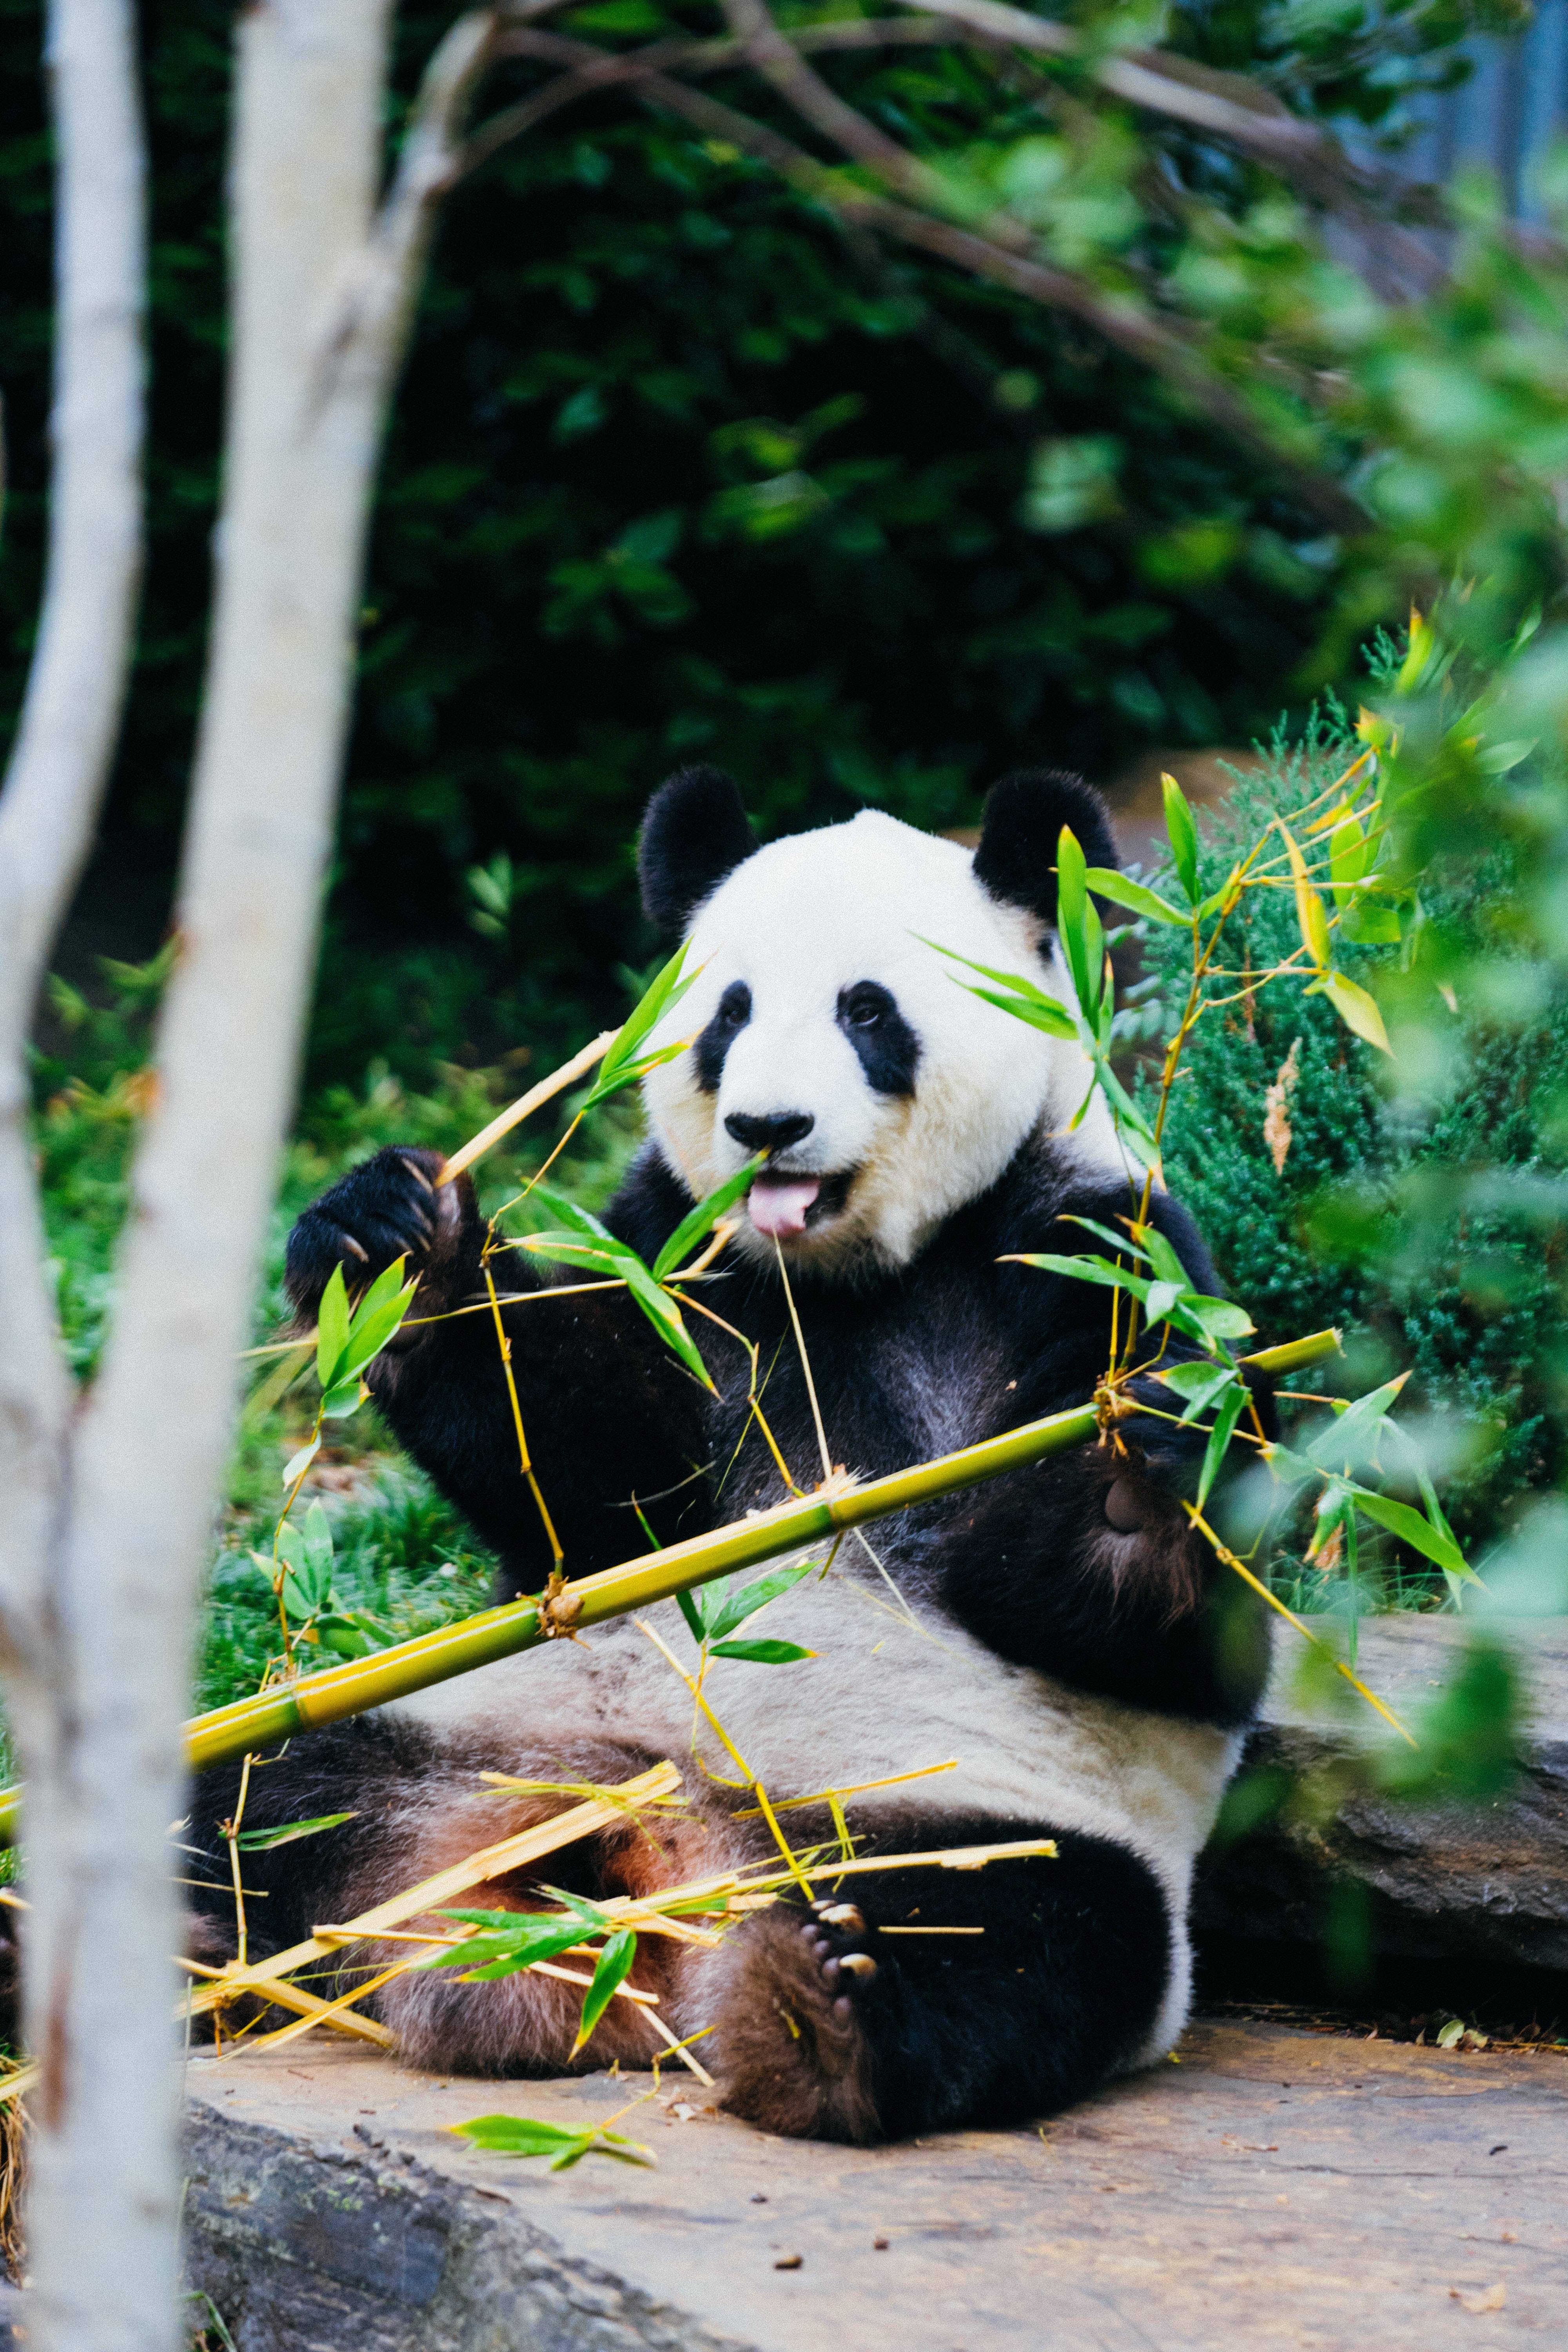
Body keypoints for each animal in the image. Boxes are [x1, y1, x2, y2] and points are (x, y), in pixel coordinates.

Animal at [196, 771, 1279, 2154]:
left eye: (868, 1010)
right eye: (730, 1012)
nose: (769, 1128)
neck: (845, 1273)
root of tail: (657, 1873)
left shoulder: (1095, 1245)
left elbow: (1154, 1629)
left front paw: (1138, 1471)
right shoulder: (681, 1254)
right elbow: (595, 1488)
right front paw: (396, 1241)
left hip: (983, 1820)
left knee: (1028, 1933)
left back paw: (822, 2008)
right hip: (459, 1736)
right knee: (258, 1802)